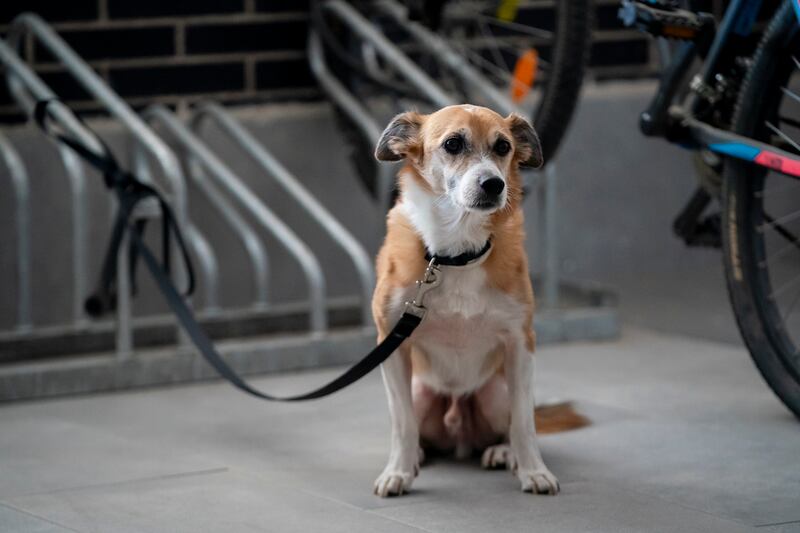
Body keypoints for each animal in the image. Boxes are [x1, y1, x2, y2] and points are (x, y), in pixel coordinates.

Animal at [368, 105, 568, 498]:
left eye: (503, 146)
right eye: (453, 144)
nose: (494, 184)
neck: (454, 254)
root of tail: (459, 434)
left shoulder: (521, 343)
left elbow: (524, 423)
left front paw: (534, 471)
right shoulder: (391, 343)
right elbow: (402, 423)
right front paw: (397, 471)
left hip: (496, 392)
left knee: (510, 422)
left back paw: (503, 453)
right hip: (420, 391)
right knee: (418, 428)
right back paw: (417, 457)